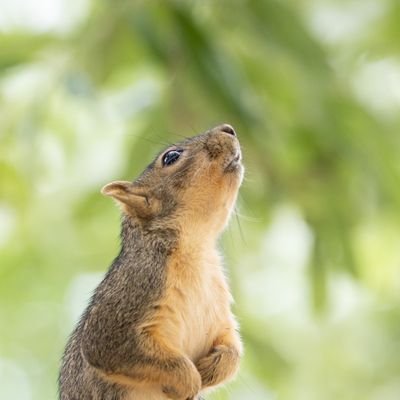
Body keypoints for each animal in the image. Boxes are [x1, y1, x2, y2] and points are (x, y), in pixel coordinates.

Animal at [57, 123, 242, 398]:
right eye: (171, 157)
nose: (228, 128)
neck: (195, 250)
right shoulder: (132, 291)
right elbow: (113, 348)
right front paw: (188, 380)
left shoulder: (219, 313)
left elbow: (232, 348)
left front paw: (211, 370)